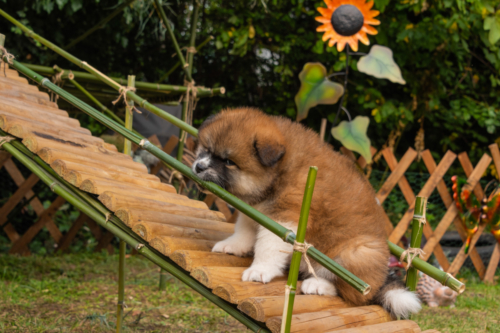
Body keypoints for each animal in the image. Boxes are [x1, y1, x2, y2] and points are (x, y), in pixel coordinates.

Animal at [193, 107, 420, 318]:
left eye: (228, 162)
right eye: (206, 149)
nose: (198, 167)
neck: (278, 172)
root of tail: (381, 279)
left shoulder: (285, 217)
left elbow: (268, 248)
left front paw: (260, 270)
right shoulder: (256, 212)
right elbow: (244, 231)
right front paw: (232, 246)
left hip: (355, 254)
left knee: (353, 292)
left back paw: (318, 285)